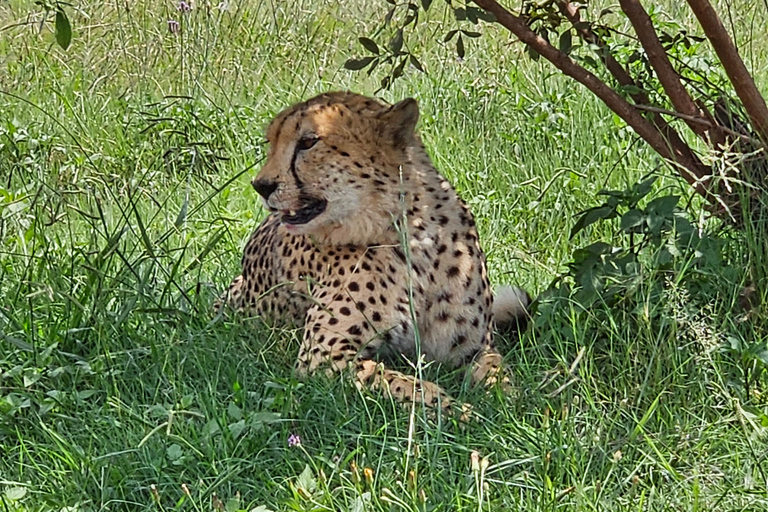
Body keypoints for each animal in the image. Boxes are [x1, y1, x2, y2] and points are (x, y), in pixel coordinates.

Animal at [216, 92, 528, 416]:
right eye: (272, 142)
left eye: (308, 141)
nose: (261, 186)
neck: (412, 232)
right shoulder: (322, 356)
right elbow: (402, 383)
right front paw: (458, 411)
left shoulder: (475, 348)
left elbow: (499, 374)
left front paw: (509, 406)